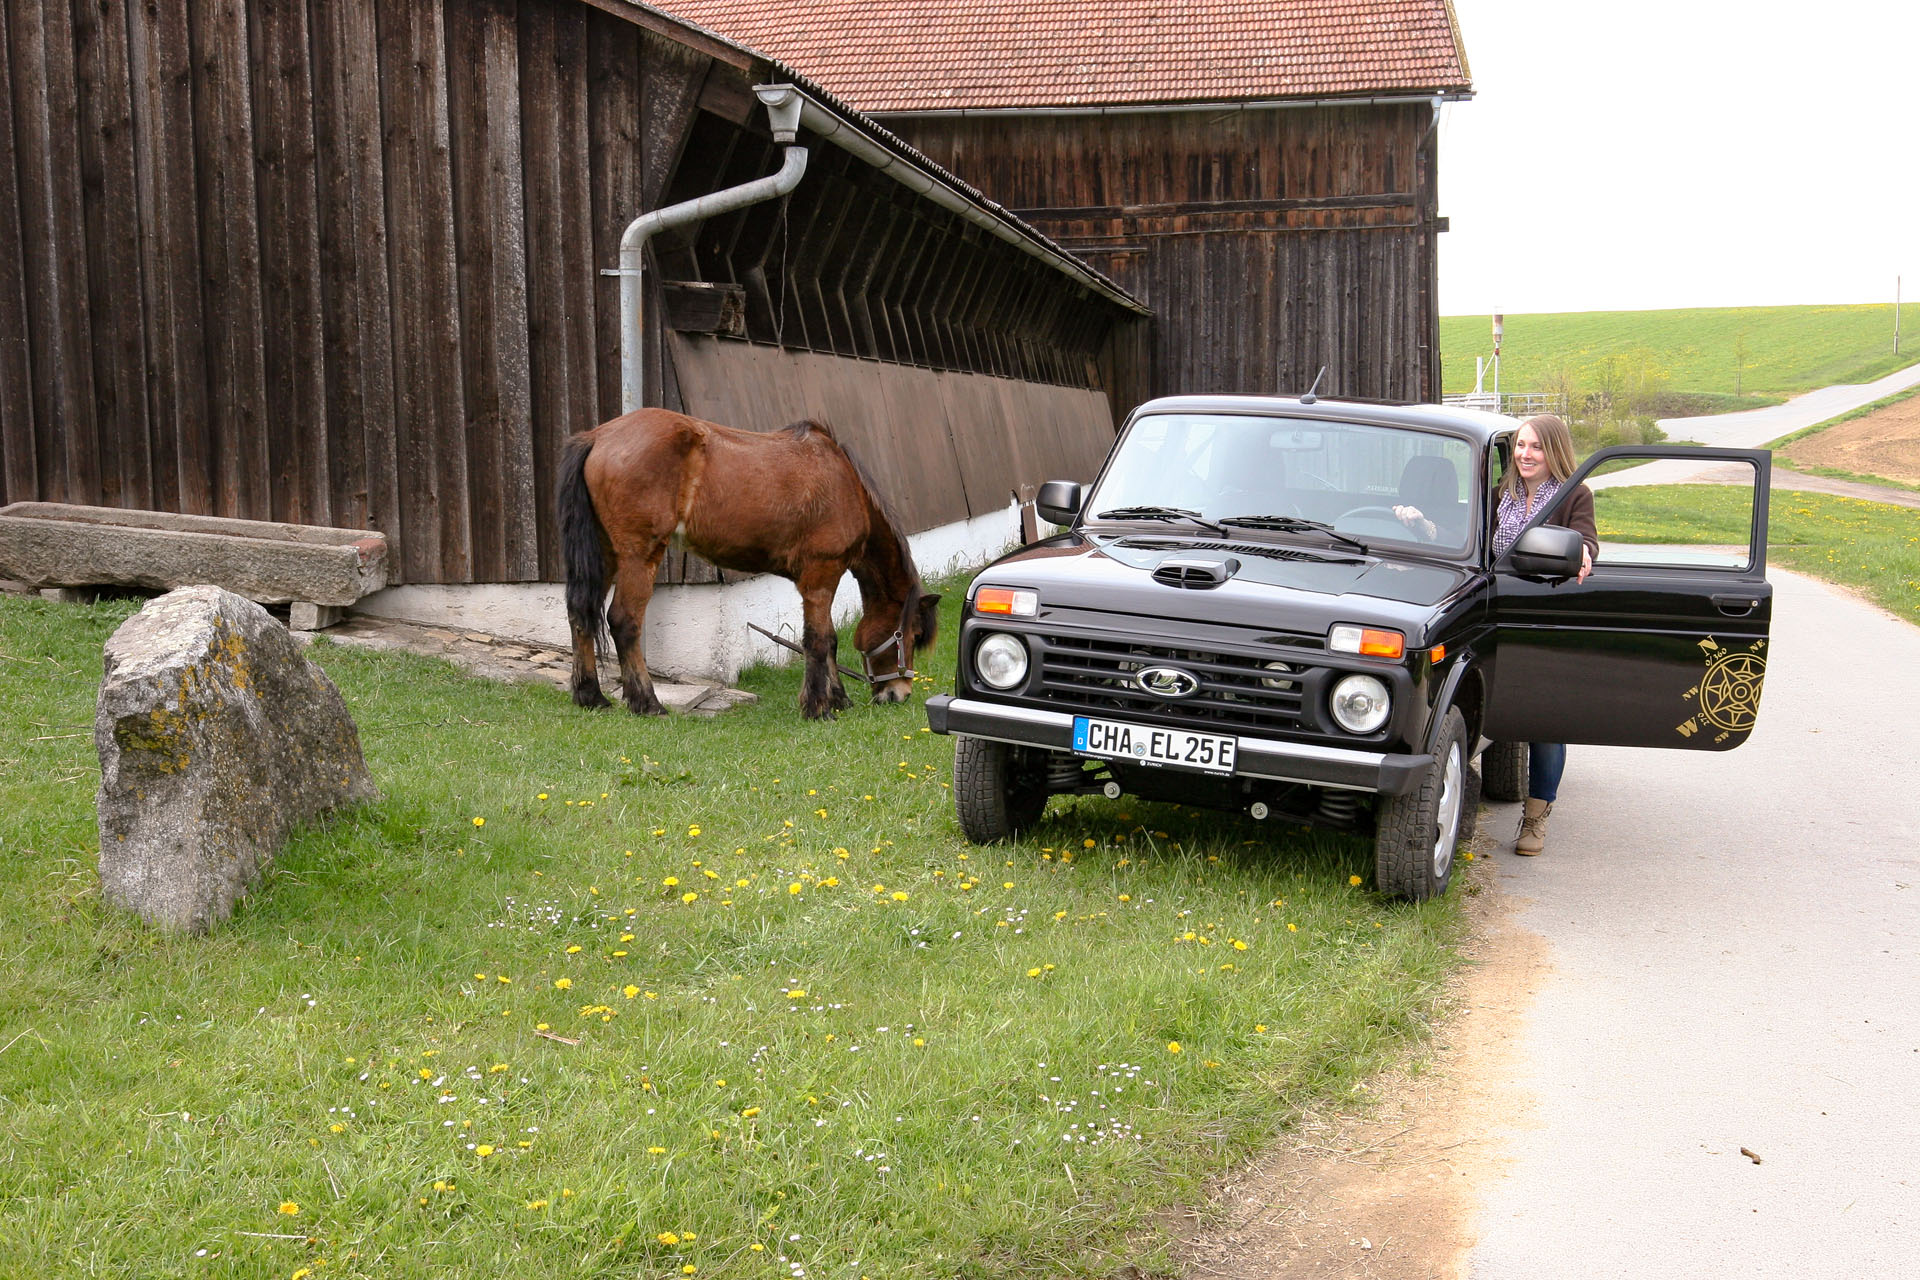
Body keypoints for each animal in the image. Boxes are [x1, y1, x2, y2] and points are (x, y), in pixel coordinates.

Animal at [552, 408, 940, 721]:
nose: (899, 694)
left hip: (605, 552)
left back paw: (591, 696)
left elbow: (828, 642)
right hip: (639, 555)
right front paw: (818, 707)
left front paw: (837, 699)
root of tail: (597, 437)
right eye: (912, 635)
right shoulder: (821, 575)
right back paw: (647, 703)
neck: (844, 486)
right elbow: (819, 639)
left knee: (581, 613)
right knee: (624, 621)